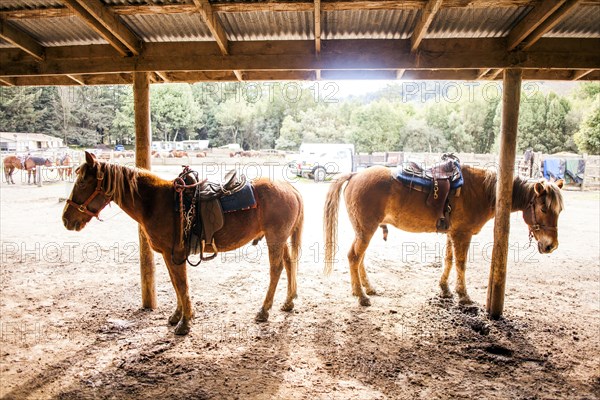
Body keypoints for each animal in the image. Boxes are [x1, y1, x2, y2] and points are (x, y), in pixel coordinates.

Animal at [63, 152, 302, 336]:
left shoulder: (175, 254)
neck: (155, 203)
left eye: (82, 181)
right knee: (289, 263)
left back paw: (264, 310)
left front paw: (185, 323)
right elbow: (175, 283)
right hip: (280, 238)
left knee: (276, 269)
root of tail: (291, 188)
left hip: (275, 238)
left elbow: (181, 284)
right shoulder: (168, 255)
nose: (66, 219)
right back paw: (288, 302)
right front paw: (178, 315)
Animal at [324, 164, 564, 308]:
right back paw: (360, 295)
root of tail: (355, 174)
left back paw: (368, 288)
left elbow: (448, 260)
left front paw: (445, 289)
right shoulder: (462, 234)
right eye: (544, 208)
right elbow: (461, 264)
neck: (480, 191)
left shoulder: (452, 233)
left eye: (559, 210)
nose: (551, 245)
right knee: (354, 257)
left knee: (360, 259)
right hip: (366, 230)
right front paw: (463, 295)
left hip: (365, 230)